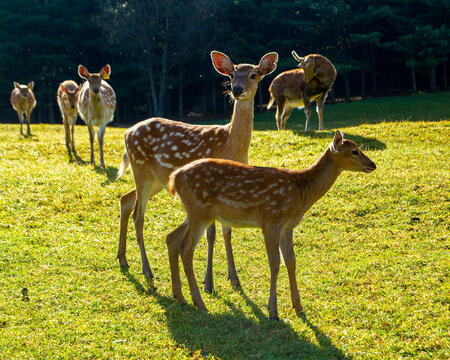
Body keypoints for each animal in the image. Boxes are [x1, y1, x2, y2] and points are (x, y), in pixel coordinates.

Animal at [116, 50, 278, 290]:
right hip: (141, 168)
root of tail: (127, 132)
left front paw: (234, 278)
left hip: (157, 179)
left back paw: (122, 259)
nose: (237, 90)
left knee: (125, 200)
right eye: (231, 75)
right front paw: (208, 282)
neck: (230, 146)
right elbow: (211, 233)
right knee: (138, 214)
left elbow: (226, 230)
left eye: (254, 74)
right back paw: (147, 270)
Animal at [165, 130, 376, 320]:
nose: (372, 164)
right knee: (186, 248)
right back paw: (199, 302)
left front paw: (299, 308)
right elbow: (275, 263)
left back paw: (180, 297)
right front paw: (273, 312)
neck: (301, 192)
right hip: (200, 211)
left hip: (196, 212)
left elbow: (291, 261)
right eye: (355, 151)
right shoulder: (270, 220)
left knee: (171, 238)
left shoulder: (287, 227)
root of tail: (174, 178)